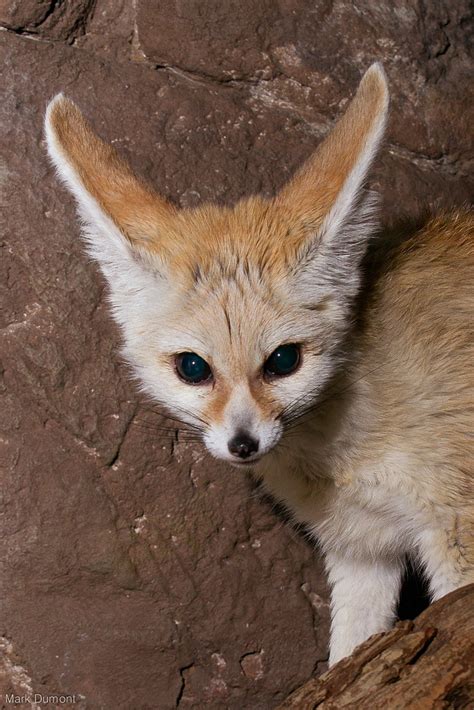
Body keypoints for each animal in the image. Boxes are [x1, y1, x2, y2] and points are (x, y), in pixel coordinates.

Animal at [45, 64, 474, 664]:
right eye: (193, 368)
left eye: (283, 361)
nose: (242, 444)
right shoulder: (362, 551)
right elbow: (346, 655)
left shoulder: (456, 526)